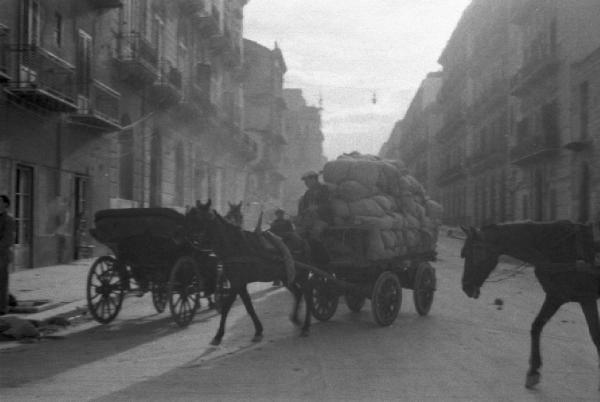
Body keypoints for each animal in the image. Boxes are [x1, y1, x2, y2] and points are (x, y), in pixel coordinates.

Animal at [186, 199, 314, 344]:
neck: (236, 245)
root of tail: (302, 239)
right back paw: (296, 318)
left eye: (198, 218)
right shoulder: (239, 284)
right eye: (189, 216)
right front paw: (258, 331)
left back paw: (306, 326)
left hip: (302, 275)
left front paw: (219, 335)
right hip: (287, 276)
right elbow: (248, 307)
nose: (187, 238)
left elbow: (226, 306)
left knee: (308, 294)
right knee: (298, 293)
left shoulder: (237, 283)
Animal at [460, 223, 600, 390]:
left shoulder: (577, 298)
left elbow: (596, 336)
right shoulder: (560, 297)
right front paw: (533, 371)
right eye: (464, 253)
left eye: (475, 252)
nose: (466, 287)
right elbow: (536, 326)